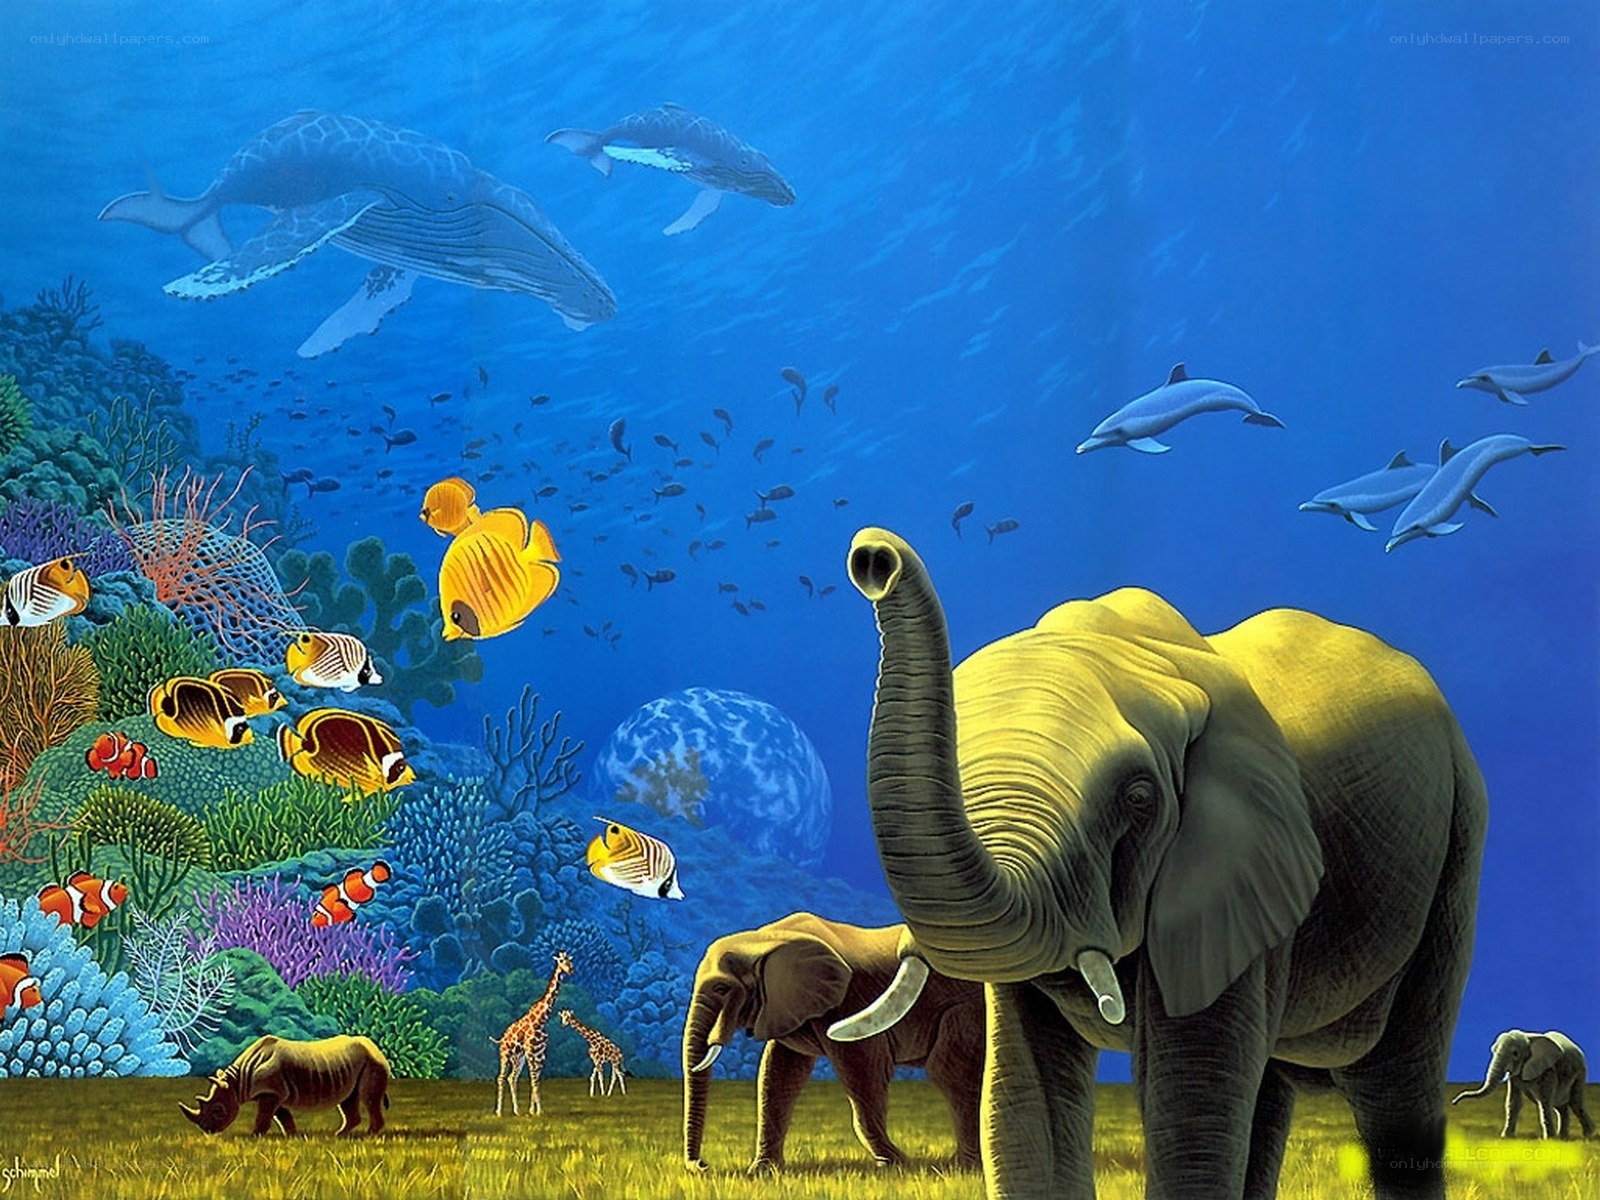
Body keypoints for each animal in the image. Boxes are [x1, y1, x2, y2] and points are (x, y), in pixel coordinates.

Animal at [682, 911, 984, 1175]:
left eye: (722, 988)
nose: (702, 1165)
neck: (762, 938)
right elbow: (778, 1074)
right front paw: (763, 1171)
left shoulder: (849, 1003)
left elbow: (863, 1074)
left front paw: (897, 1164)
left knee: (951, 1071)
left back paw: (964, 1166)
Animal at [829, 527, 1486, 1200]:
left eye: (1139, 798)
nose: (873, 557)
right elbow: (1023, 1100)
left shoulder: (1234, 866)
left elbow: (1189, 1102)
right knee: (1268, 1085)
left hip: (1457, 849)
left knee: (1393, 1085)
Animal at [1452, 1029, 1594, 1139]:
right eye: (1493, 1050)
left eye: (1515, 1053)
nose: (1454, 1102)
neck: (1528, 1037)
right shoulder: (1515, 1076)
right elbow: (1514, 1102)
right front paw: (1506, 1137)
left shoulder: (1547, 1070)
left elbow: (1544, 1102)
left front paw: (1550, 1140)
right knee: (1560, 1107)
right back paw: (1564, 1137)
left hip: (1580, 1072)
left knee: (1575, 1103)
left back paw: (1588, 1135)